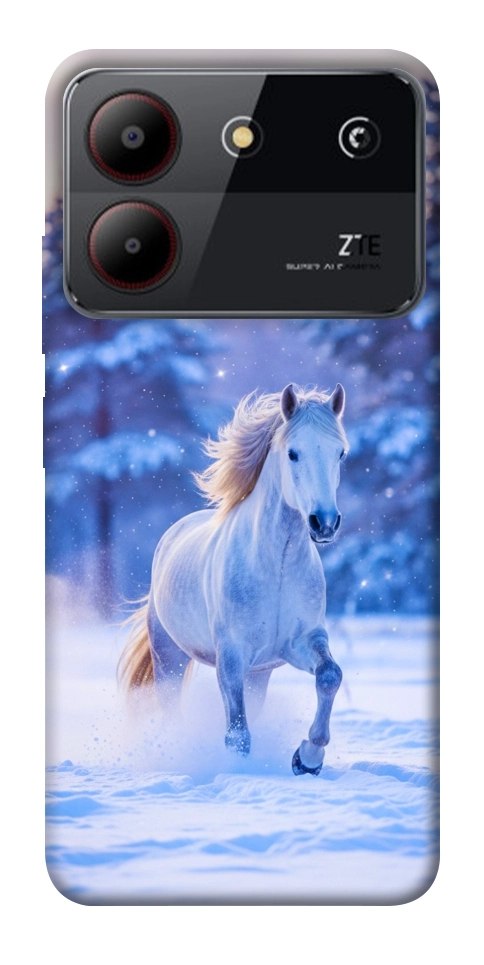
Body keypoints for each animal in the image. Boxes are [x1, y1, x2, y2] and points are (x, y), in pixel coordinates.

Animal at [119, 382, 348, 776]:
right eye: (293, 453)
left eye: (340, 453)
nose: (324, 523)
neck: (276, 567)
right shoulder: (231, 656)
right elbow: (237, 734)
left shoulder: (301, 642)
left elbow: (330, 676)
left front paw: (307, 758)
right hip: (169, 658)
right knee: (171, 709)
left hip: (259, 674)